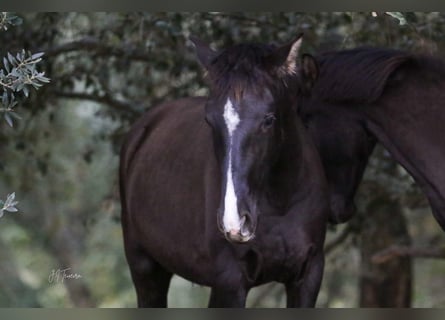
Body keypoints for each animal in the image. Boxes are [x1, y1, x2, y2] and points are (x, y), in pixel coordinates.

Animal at [119, 35, 330, 308]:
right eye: (210, 121)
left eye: (268, 119)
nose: (234, 222)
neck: (281, 205)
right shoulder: (229, 283)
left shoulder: (307, 276)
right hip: (146, 271)